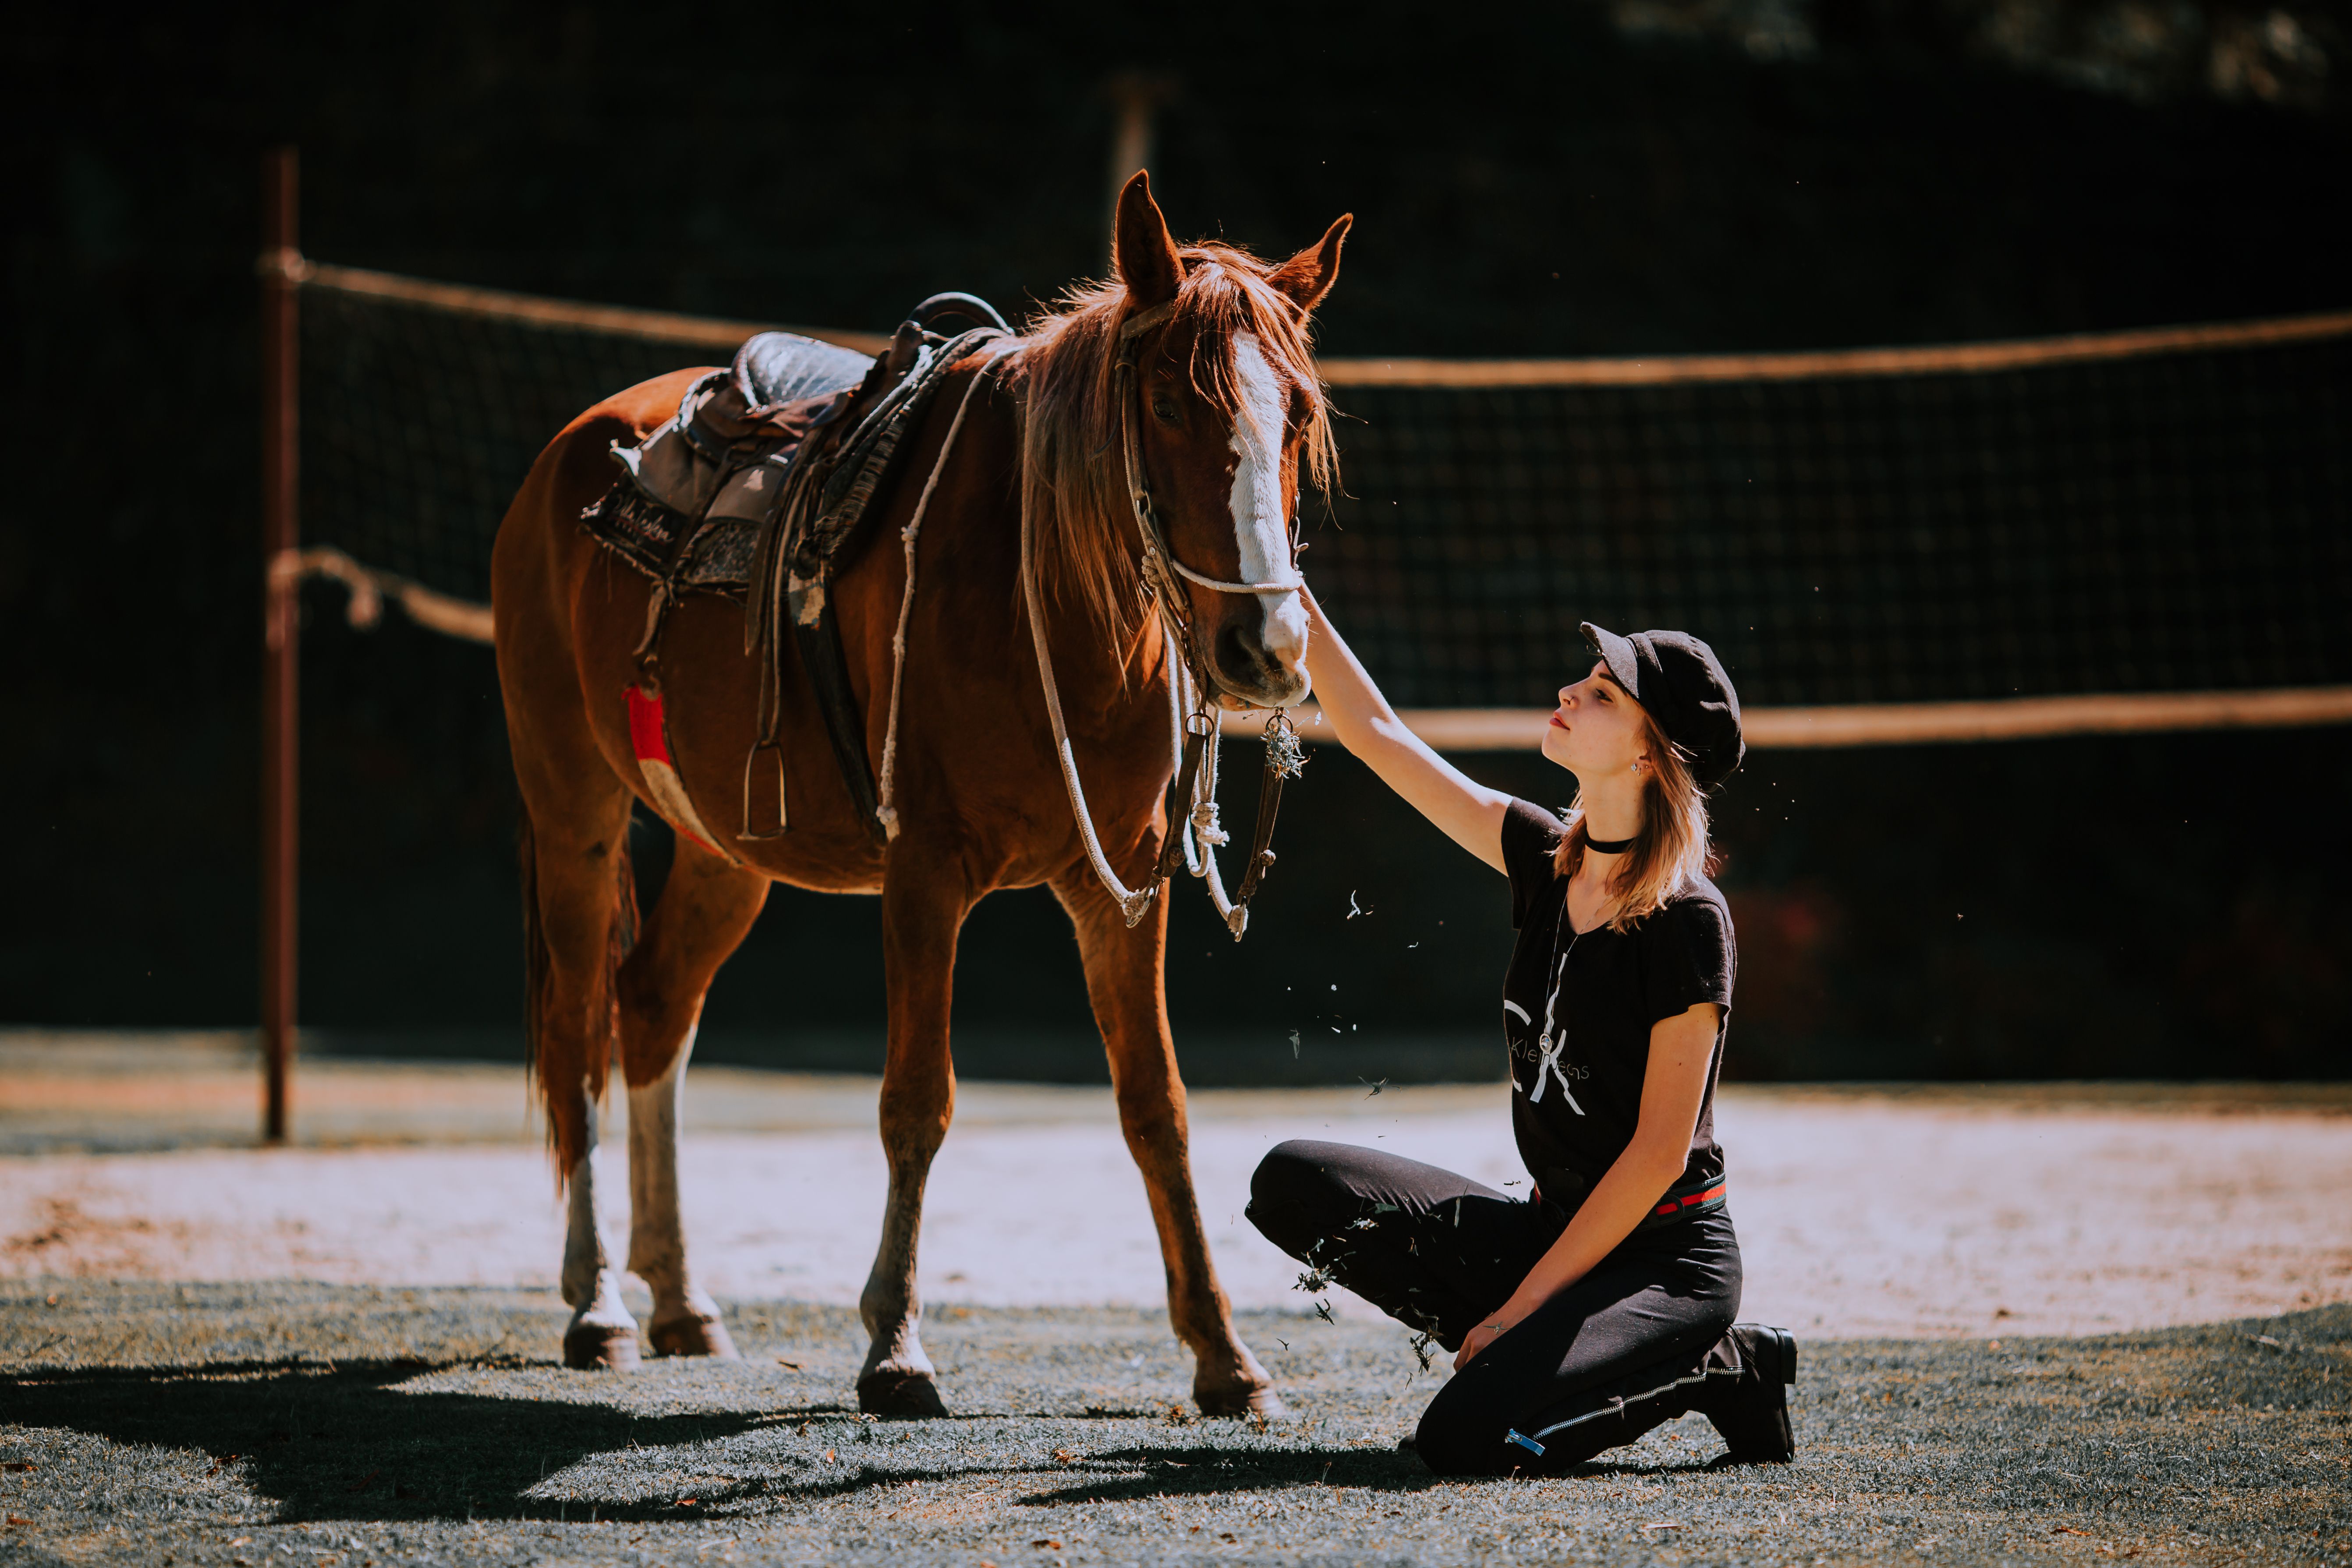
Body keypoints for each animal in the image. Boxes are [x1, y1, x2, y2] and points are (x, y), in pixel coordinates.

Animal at [490, 172, 1350, 1417]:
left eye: (1297, 417)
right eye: (1167, 406)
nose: (1266, 647)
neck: (1048, 602)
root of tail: (576, 447)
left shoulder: (1121, 888)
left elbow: (1157, 1108)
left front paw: (1223, 1356)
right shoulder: (924, 875)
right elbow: (916, 1101)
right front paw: (894, 1344)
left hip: (726, 850)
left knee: (651, 1008)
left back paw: (682, 1300)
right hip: (575, 812)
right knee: (579, 1032)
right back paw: (598, 1303)